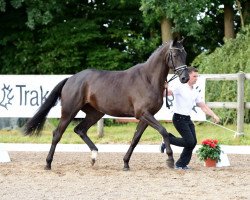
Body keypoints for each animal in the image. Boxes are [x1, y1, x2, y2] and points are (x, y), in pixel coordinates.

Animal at [23, 38, 189, 170]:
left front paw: (126, 163)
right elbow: (163, 131)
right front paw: (170, 159)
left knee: (80, 129)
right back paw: (48, 163)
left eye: (185, 54)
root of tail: (71, 79)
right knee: (57, 134)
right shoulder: (143, 113)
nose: (185, 78)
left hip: (95, 113)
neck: (148, 79)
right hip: (69, 111)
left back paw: (94, 156)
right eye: (175, 55)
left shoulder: (146, 116)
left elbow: (135, 139)